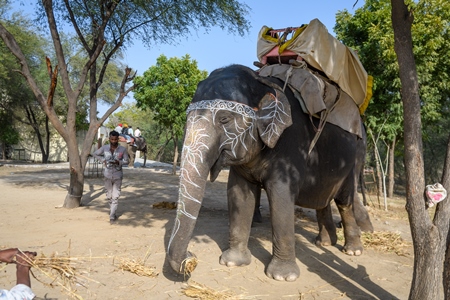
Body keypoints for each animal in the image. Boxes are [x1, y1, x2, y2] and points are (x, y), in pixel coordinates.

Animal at [165, 63, 372, 282]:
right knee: (322, 198)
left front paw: (283, 277)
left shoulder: (290, 144)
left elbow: (281, 194)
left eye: (224, 119)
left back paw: (353, 250)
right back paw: (324, 243)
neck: (261, 82)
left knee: (344, 200)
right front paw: (232, 262)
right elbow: (239, 194)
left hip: (354, 158)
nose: (191, 259)